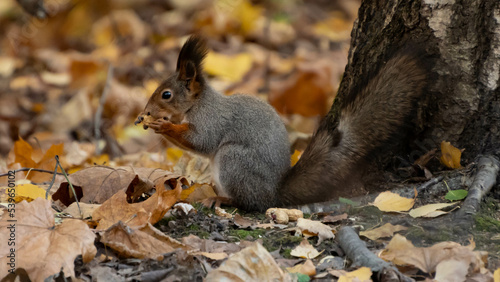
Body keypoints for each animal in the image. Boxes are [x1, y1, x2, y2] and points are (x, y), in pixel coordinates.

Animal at [135, 35, 428, 212]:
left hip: (234, 161)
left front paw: (163, 126)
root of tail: (275, 194)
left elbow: (201, 142)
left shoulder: (212, 121)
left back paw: (221, 198)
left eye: (166, 95)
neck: (198, 104)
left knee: (250, 203)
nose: (146, 111)